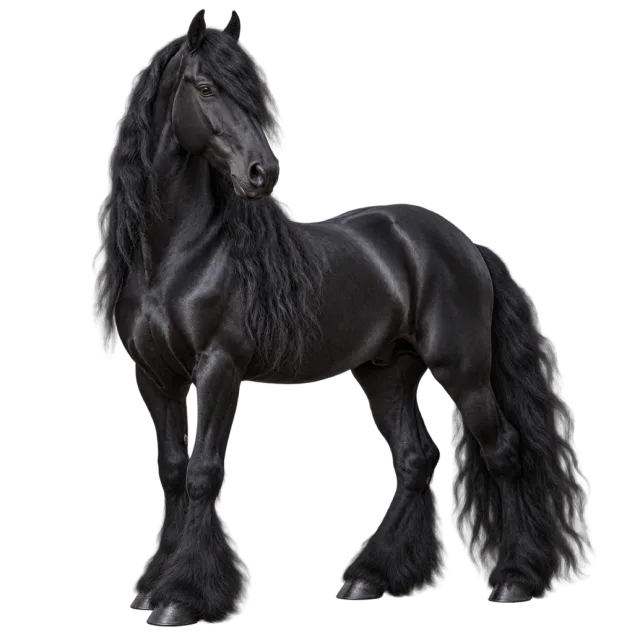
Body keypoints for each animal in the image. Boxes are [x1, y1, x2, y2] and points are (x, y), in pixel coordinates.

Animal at [95, 10, 566, 625]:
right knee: (415, 460)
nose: (262, 172)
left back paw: (515, 580)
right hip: (388, 372)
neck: (179, 254)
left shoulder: (217, 366)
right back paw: (371, 580)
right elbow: (174, 472)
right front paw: (154, 585)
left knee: (505, 452)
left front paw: (182, 597)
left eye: (248, 89)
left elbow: (202, 474)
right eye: (206, 87)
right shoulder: (155, 376)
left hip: (463, 374)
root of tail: (463, 244)